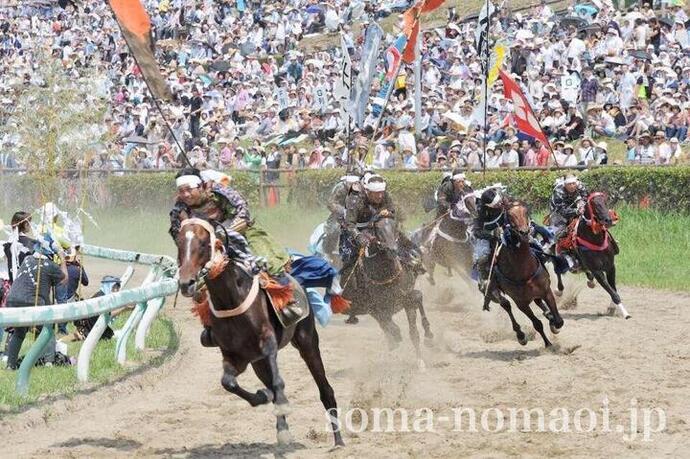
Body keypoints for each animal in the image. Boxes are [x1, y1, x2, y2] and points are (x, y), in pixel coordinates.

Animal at [176, 219, 344, 450]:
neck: (231, 299)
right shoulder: (235, 355)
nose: (186, 283)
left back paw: (339, 441)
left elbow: (277, 382)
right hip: (257, 362)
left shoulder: (268, 344)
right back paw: (282, 429)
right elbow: (229, 383)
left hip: (306, 340)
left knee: (325, 389)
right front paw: (262, 396)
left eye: (203, 243)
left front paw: (280, 402)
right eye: (179, 243)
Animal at [342, 213, 432, 370]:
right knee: (386, 324)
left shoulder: (406, 299)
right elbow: (390, 325)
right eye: (377, 229)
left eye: (395, 227)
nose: (391, 249)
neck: (386, 273)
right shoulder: (377, 307)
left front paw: (421, 359)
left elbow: (414, 332)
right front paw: (395, 338)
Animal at [484, 199, 564, 346]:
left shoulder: (546, 291)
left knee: (538, 303)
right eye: (509, 215)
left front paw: (553, 324)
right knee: (506, 305)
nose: (524, 232)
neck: (524, 270)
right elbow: (537, 324)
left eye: (526, 211)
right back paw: (520, 335)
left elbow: (558, 320)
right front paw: (548, 344)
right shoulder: (521, 303)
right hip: (496, 291)